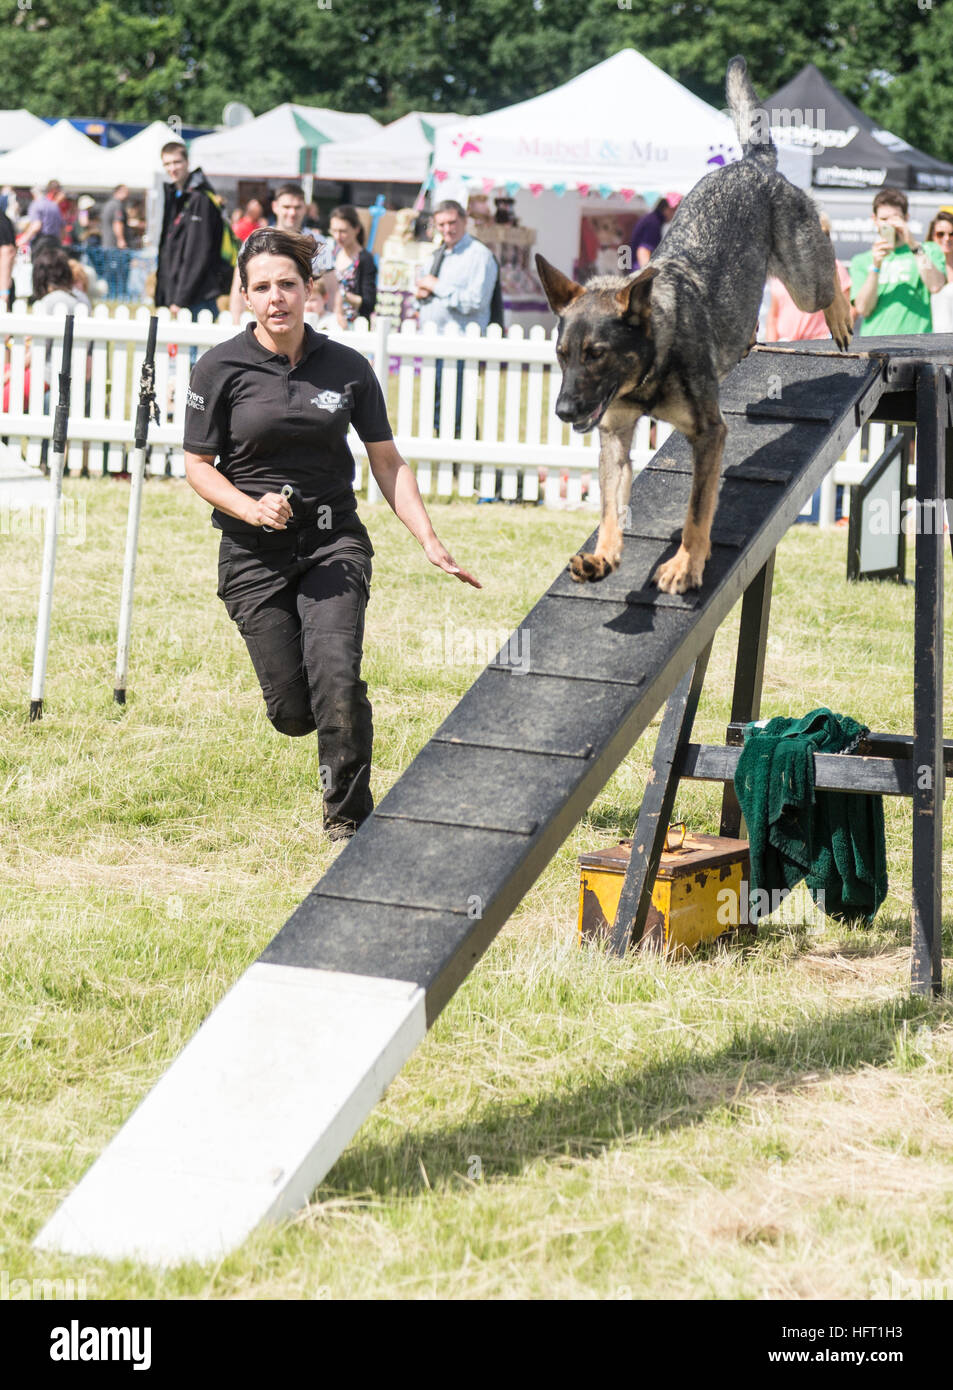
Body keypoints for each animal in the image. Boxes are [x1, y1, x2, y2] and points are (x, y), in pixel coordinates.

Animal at [533, 56, 855, 592]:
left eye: (596, 354)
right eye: (562, 356)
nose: (562, 410)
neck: (651, 367)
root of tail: (752, 164)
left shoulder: (709, 435)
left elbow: (697, 510)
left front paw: (686, 564)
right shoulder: (614, 436)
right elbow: (610, 509)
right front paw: (603, 557)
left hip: (804, 281)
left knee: (827, 248)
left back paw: (842, 314)